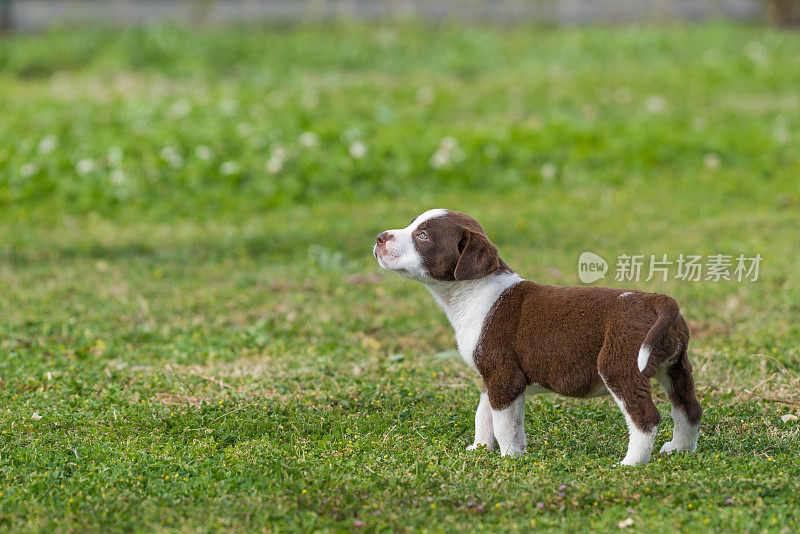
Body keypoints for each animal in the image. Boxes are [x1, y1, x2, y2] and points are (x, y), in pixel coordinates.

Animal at [370, 209, 700, 464]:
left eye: (423, 236)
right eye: (411, 224)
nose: (379, 237)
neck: (473, 291)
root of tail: (657, 301)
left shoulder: (503, 376)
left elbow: (504, 424)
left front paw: (509, 458)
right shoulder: (492, 377)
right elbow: (484, 415)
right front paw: (479, 449)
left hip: (621, 366)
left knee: (646, 417)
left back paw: (631, 463)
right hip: (674, 366)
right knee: (689, 408)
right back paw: (680, 449)